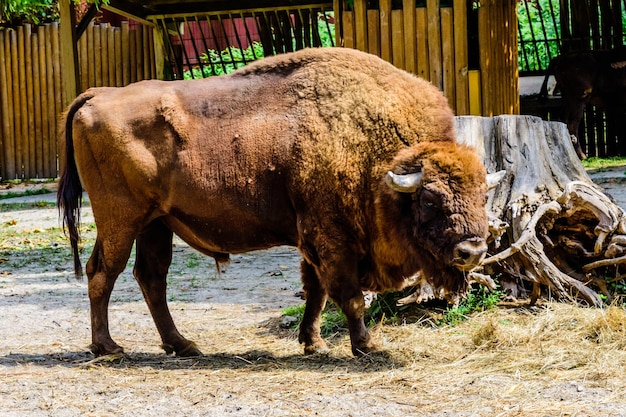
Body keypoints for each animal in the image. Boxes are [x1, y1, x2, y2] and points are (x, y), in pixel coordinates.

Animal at [58, 47, 490, 356]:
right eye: (430, 199)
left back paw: (183, 345)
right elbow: (348, 296)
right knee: (103, 271)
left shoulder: (312, 242)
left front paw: (314, 344)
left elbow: (315, 292)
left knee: (151, 277)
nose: (472, 250)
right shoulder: (331, 239)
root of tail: (98, 95)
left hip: (155, 223)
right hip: (120, 219)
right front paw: (367, 346)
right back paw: (109, 348)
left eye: (484, 195)